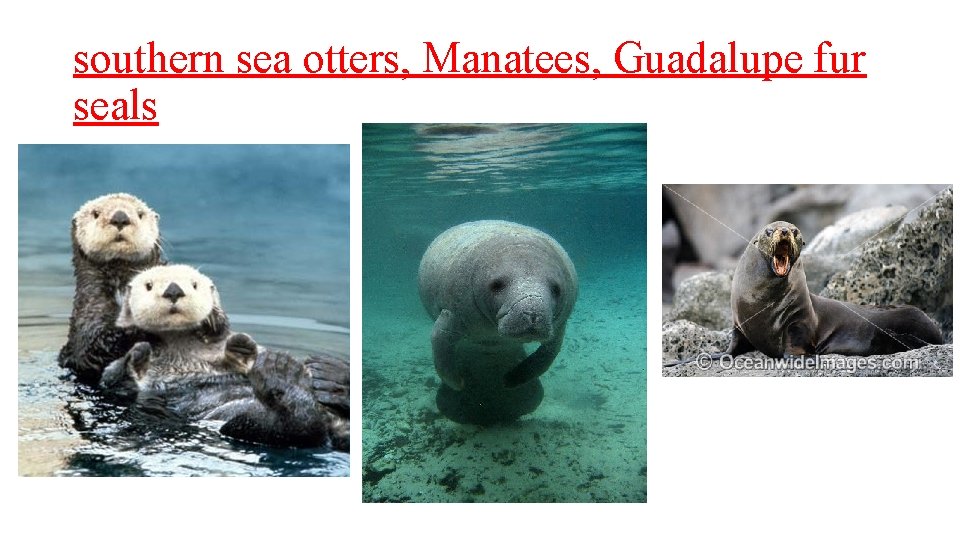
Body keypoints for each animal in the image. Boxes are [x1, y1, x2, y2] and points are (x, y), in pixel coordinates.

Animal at [100, 265, 349, 450]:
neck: (180, 346)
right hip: (237, 421)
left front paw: (240, 344)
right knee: (293, 430)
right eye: (149, 285)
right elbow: (113, 377)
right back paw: (284, 373)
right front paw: (139, 355)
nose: (173, 290)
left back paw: (328, 375)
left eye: (194, 284)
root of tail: (335, 430)